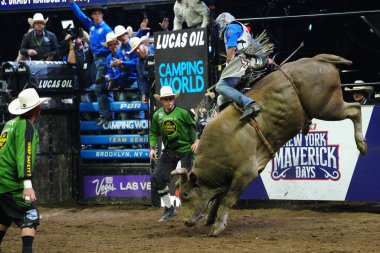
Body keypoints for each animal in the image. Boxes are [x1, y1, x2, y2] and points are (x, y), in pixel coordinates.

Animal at [171, 53, 366, 237]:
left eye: (186, 195)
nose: (186, 222)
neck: (219, 150)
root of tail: (317, 59)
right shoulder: (227, 179)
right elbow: (216, 199)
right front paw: (210, 219)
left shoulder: (245, 174)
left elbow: (227, 200)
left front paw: (217, 228)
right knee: (354, 109)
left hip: (327, 107)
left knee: (355, 109)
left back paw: (362, 145)